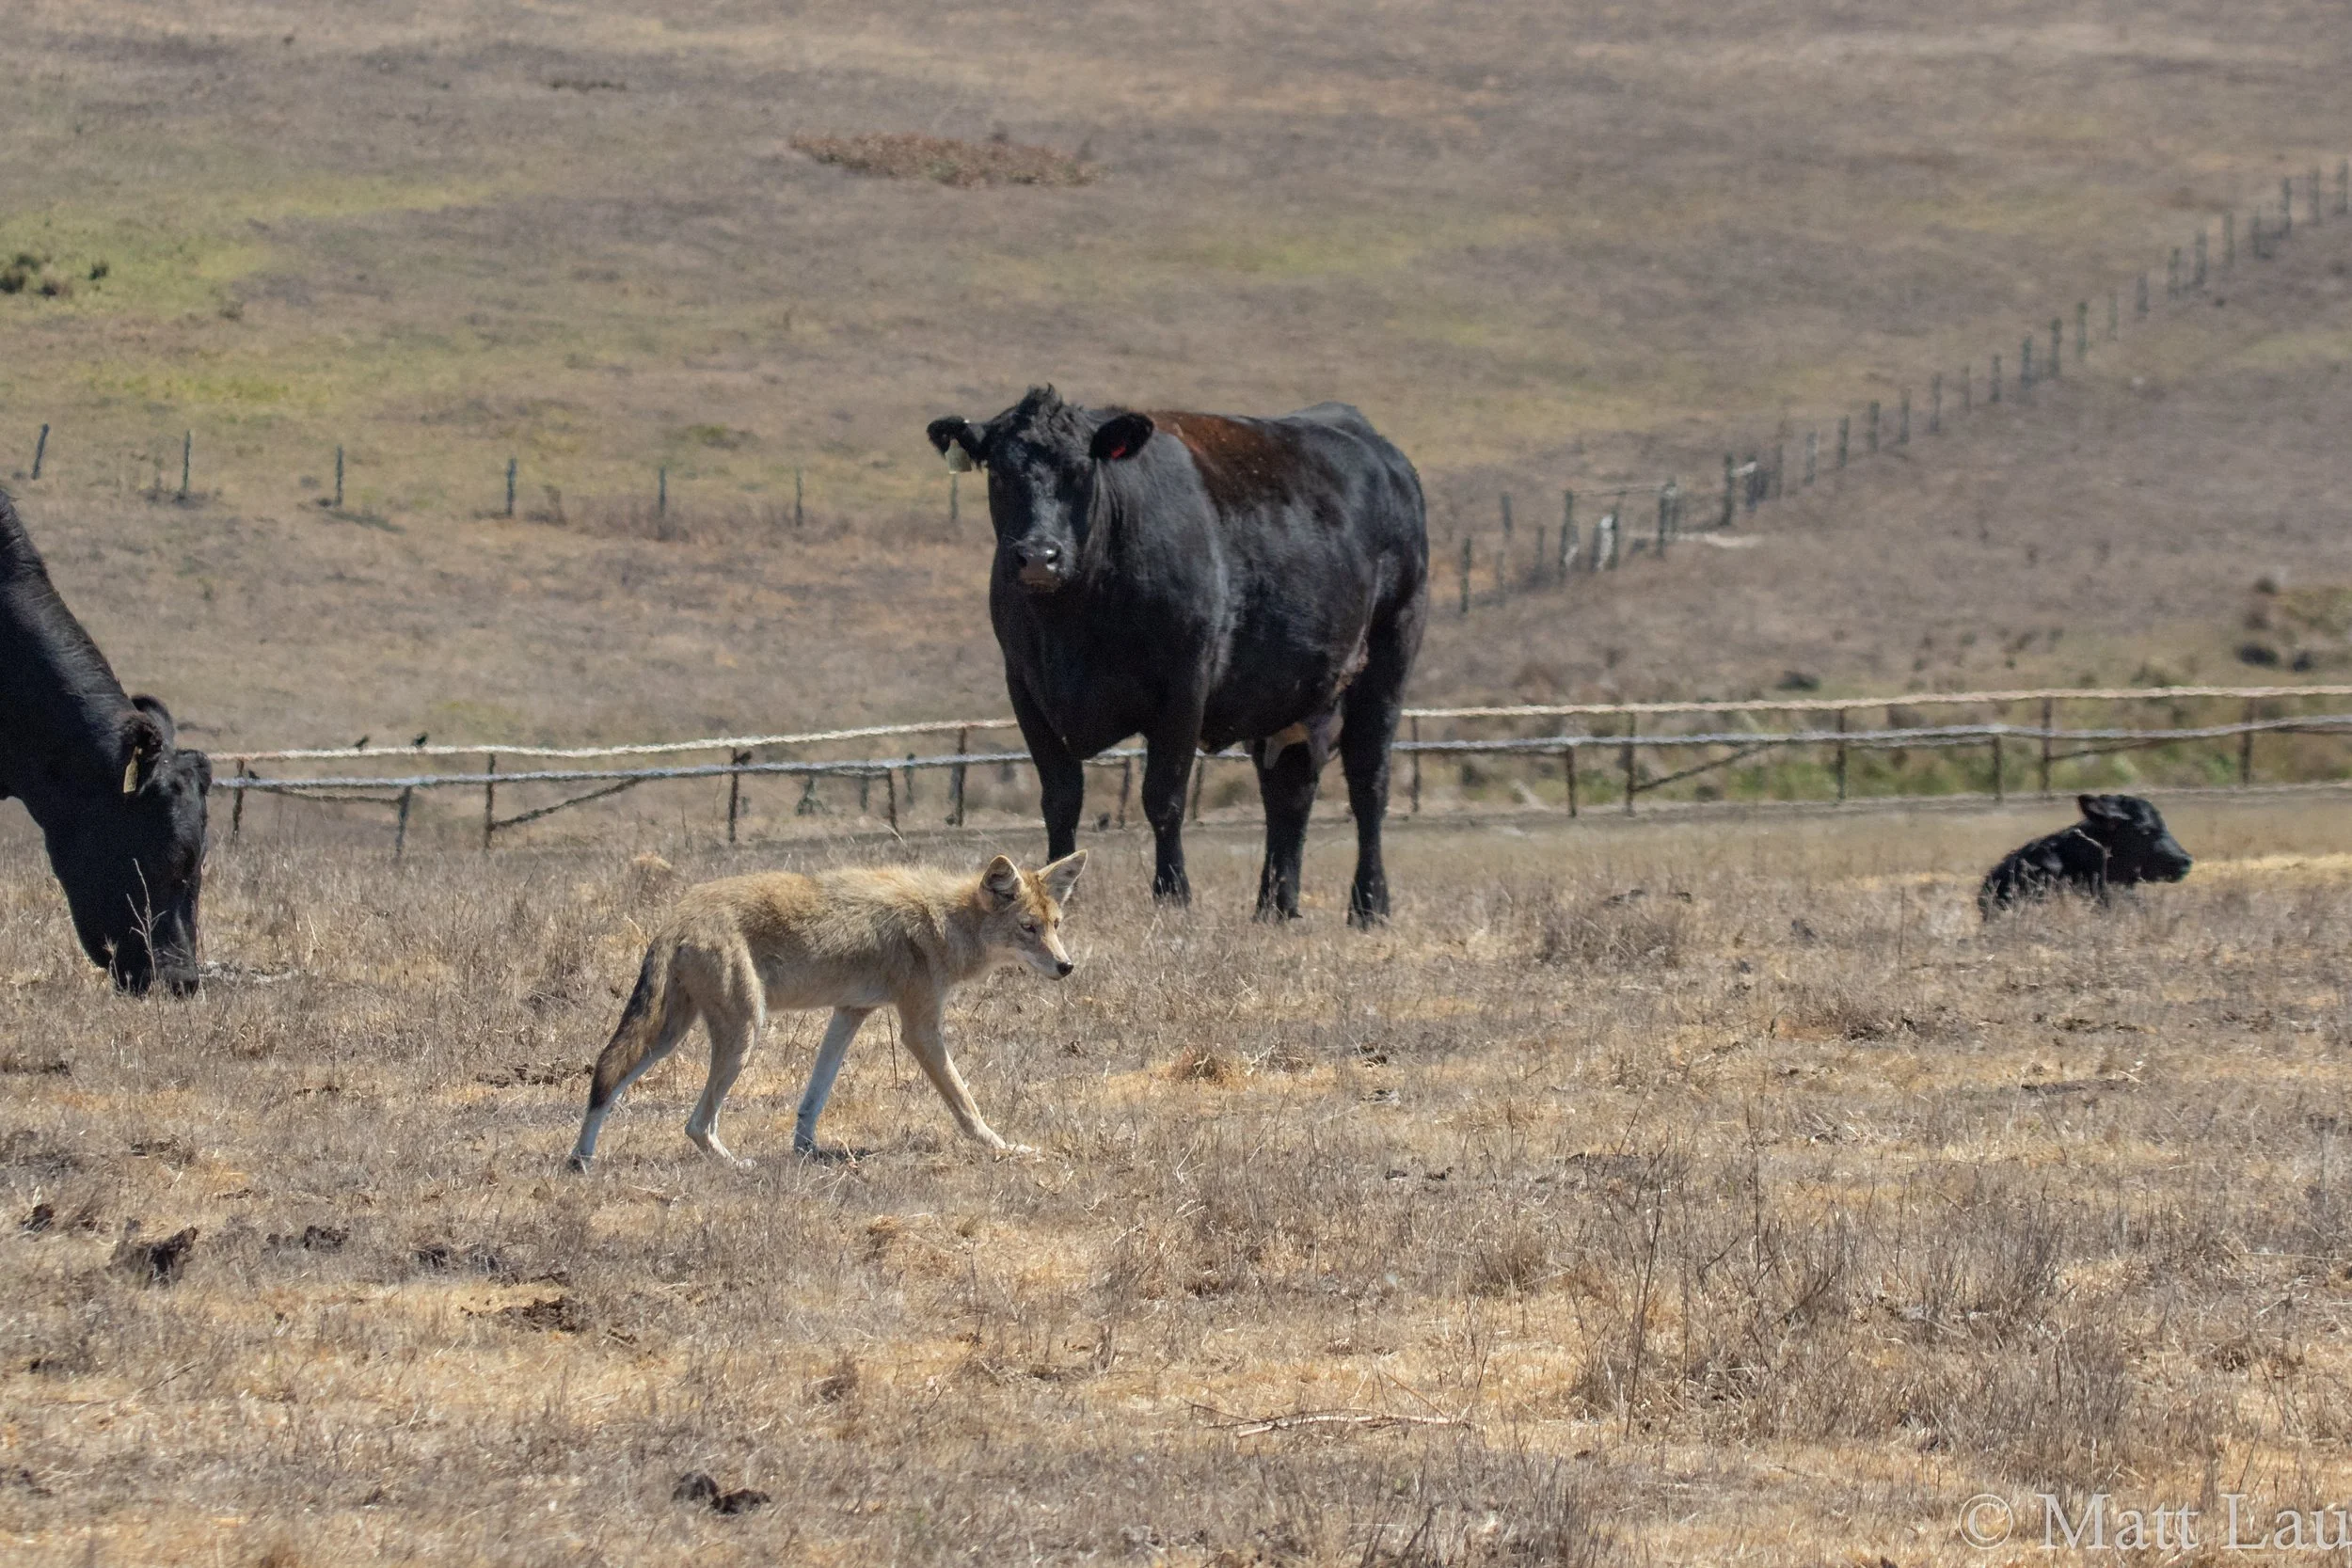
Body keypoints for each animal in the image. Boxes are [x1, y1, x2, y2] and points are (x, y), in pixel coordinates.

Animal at [926, 387, 1428, 925]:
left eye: (1081, 470)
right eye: (999, 472)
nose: (1040, 556)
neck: (1071, 620)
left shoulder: (1184, 685)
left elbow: (1163, 796)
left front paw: (1173, 894)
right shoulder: (1026, 688)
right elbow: (1061, 798)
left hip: (1389, 655)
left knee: (1369, 782)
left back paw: (1369, 904)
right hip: (1290, 694)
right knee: (1288, 792)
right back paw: (1274, 906)